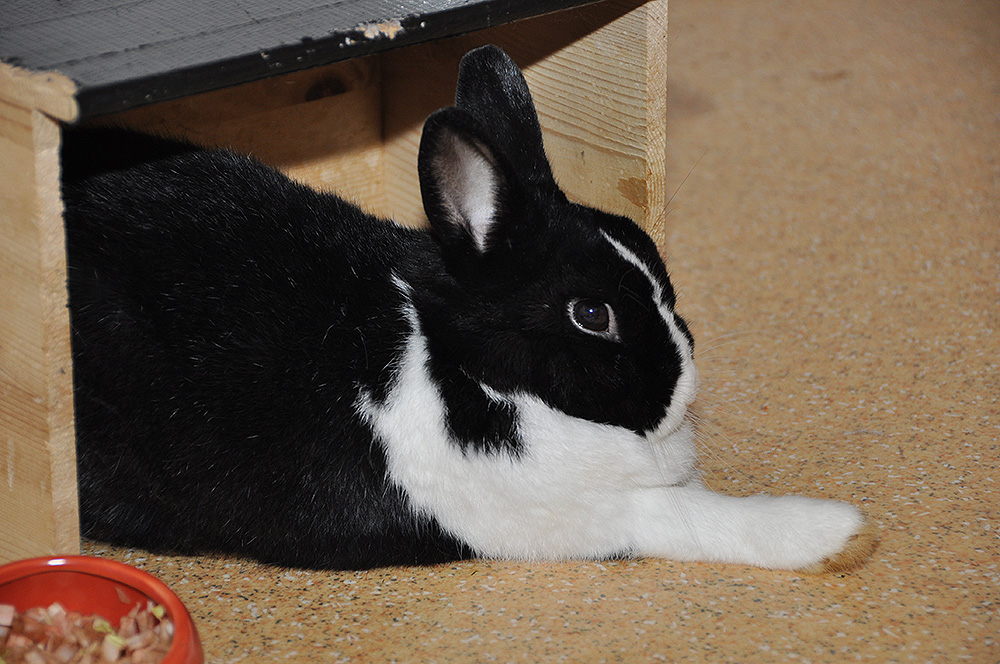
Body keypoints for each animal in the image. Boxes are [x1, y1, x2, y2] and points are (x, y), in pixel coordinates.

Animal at [64, 45, 876, 572]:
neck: (468, 369)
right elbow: (689, 516)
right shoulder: (579, 515)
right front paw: (836, 532)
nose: (684, 393)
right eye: (592, 315)